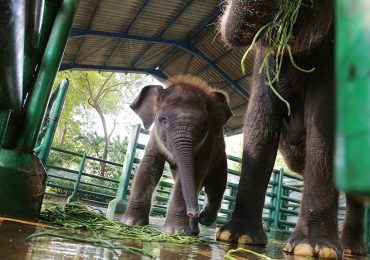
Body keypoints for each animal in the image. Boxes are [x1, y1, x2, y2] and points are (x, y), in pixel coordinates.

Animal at [121, 74, 231, 235]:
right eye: (163, 120)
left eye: (203, 126)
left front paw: (174, 232)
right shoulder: (155, 137)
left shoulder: (208, 143)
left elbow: (193, 173)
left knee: (216, 186)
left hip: (221, 159)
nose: (193, 212)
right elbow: (149, 166)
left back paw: (203, 221)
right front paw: (131, 224)